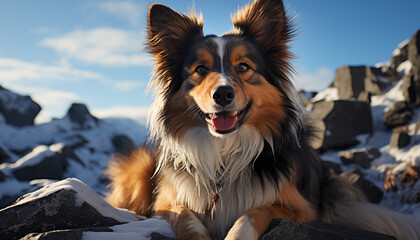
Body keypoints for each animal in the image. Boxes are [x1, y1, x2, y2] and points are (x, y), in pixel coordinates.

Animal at [107, 0, 420, 239]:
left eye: (244, 67)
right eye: (200, 69)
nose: (223, 94)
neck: (225, 157)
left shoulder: (301, 208)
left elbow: (255, 211)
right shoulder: (166, 202)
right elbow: (186, 218)